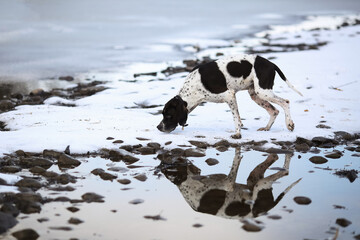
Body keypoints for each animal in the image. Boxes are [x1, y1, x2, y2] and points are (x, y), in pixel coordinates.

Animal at [157, 53, 300, 138]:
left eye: (168, 115)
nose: (158, 127)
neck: (193, 88)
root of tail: (271, 64)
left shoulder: (229, 95)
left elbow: (235, 118)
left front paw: (237, 134)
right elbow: (238, 118)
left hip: (263, 92)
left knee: (285, 102)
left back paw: (289, 124)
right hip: (256, 95)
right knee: (274, 111)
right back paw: (267, 128)